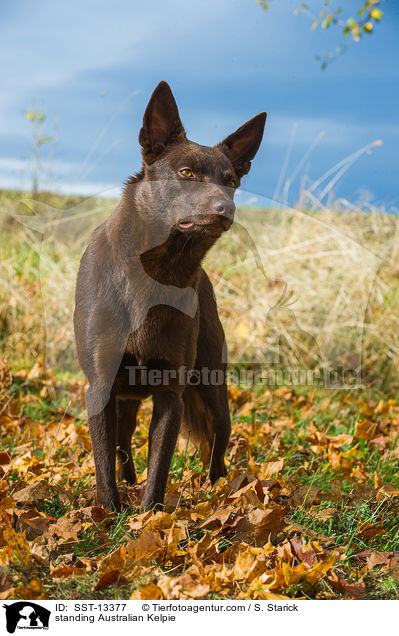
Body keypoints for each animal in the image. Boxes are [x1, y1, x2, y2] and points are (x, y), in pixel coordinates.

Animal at [73, 80, 268, 512]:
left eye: (230, 181)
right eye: (186, 173)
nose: (224, 208)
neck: (156, 272)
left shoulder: (171, 395)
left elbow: (159, 464)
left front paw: (150, 517)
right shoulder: (101, 387)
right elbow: (103, 460)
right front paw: (110, 513)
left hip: (212, 385)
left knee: (218, 440)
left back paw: (219, 490)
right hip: (127, 396)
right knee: (122, 442)